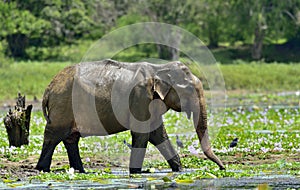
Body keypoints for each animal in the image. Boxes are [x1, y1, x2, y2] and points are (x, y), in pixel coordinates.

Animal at [35, 59, 225, 174]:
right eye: (189, 91)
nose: (223, 167)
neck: (159, 69)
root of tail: (49, 88)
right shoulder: (140, 98)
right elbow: (142, 134)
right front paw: (136, 172)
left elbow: (158, 134)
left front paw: (179, 170)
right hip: (63, 106)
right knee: (53, 136)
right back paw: (42, 169)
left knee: (71, 139)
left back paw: (80, 171)